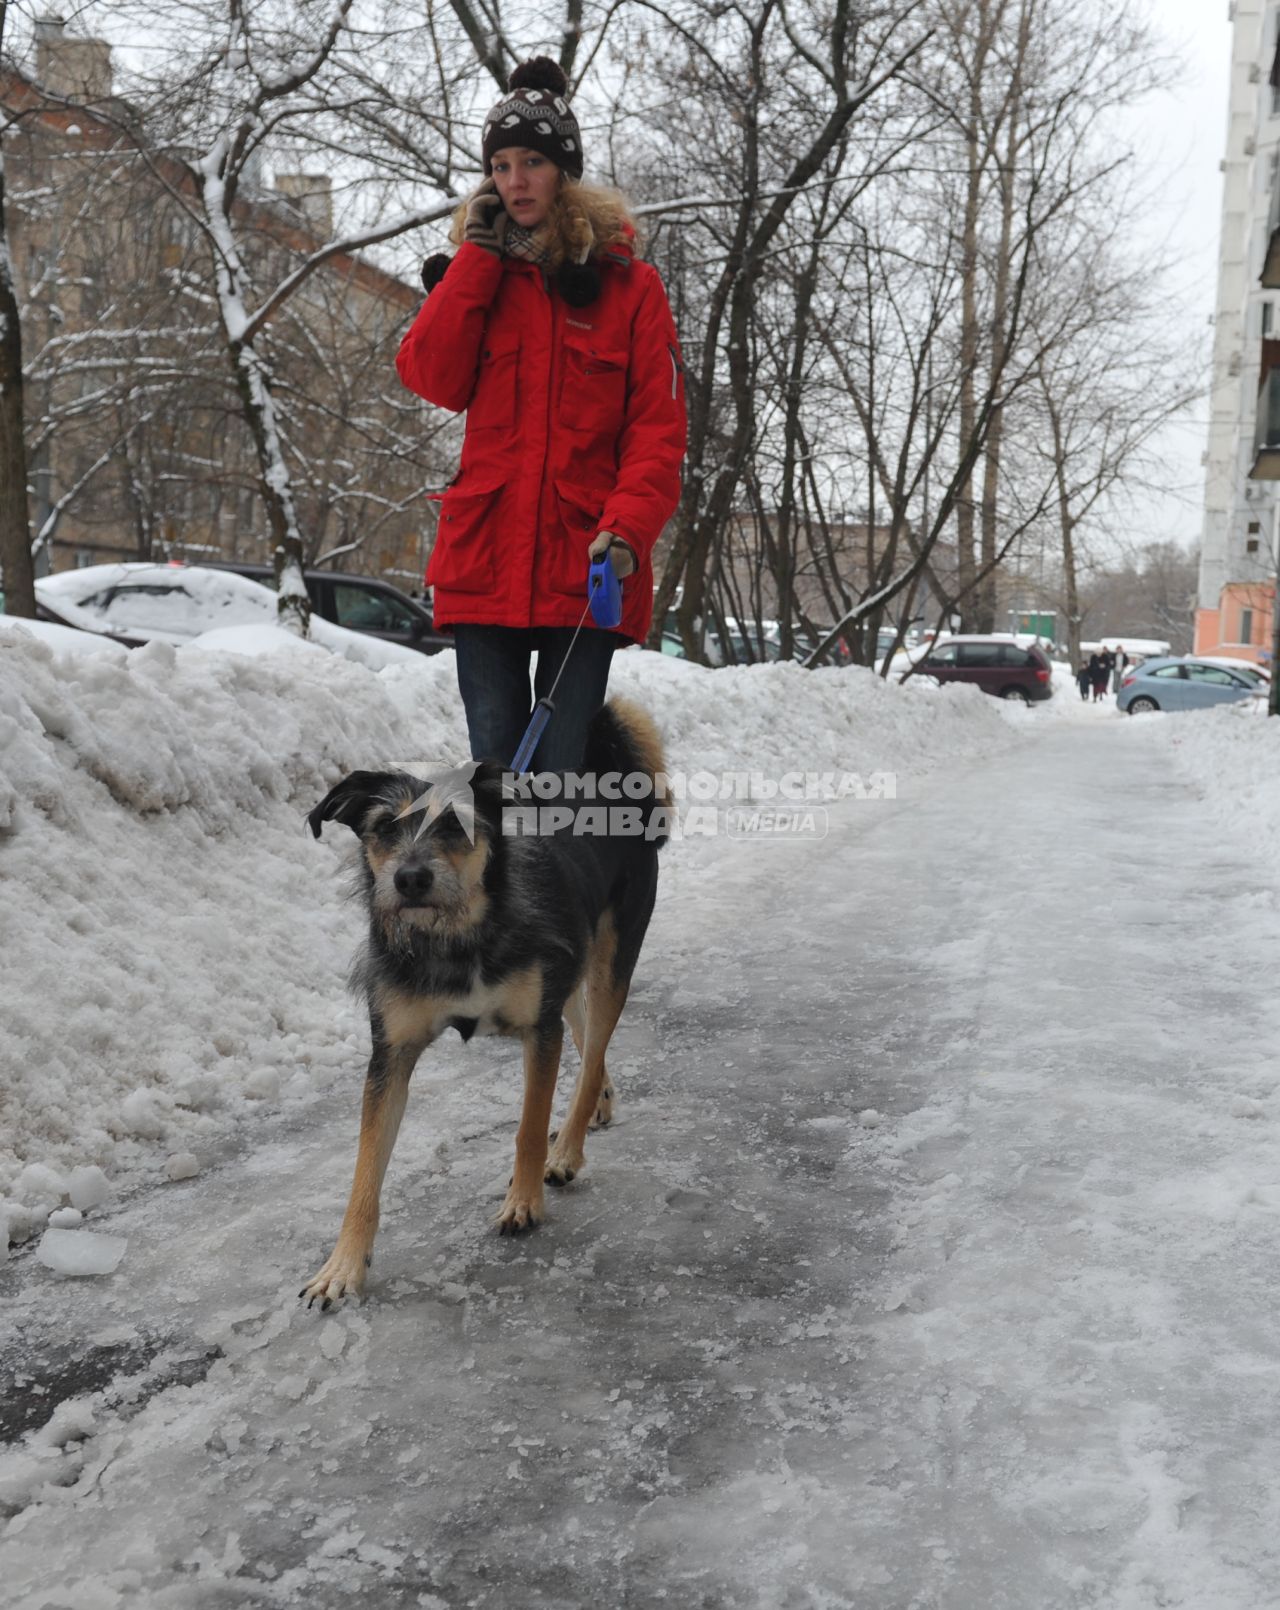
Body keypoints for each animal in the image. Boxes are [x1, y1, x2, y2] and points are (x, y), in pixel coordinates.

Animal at [294, 698, 666, 1300]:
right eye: (383, 827)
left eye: (454, 823)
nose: (410, 879)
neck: (455, 936)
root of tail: (611, 789)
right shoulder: (390, 1053)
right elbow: (365, 1168)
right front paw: (342, 1266)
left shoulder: (539, 1030)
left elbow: (528, 1128)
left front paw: (523, 1202)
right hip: (568, 971)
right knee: (588, 1036)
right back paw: (599, 1106)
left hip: (612, 961)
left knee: (592, 1051)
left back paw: (568, 1149)